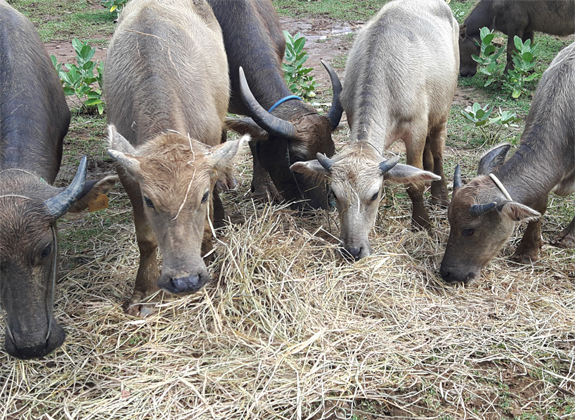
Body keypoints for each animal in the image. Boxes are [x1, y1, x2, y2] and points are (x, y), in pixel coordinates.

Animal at [106, 0, 245, 316]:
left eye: (201, 196)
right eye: (149, 201)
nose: (185, 280)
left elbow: (205, 221)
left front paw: (210, 255)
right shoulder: (128, 175)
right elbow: (146, 239)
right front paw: (143, 292)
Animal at [292, 0, 460, 260]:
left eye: (374, 194)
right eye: (335, 194)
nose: (353, 250)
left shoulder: (416, 129)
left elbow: (414, 184)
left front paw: (422, 224)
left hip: (442, 109)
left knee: (437, 145)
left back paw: (440, 194)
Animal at [440, 42, 575, 284]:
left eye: (469, 230)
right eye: (449, 221)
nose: (447, 272)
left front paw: (567, 239)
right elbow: (539, 206)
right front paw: (528, 250)